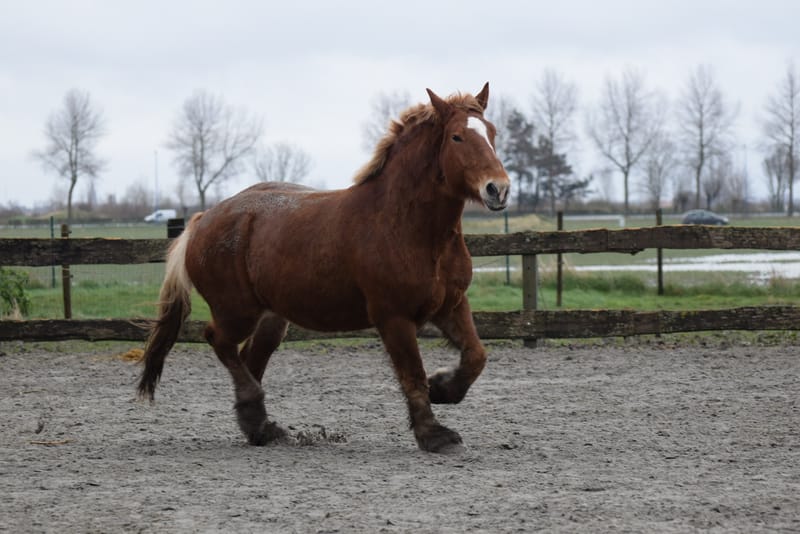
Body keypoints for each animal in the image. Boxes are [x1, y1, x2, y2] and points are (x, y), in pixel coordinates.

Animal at [137, 83, 511, 453]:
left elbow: (476, 356)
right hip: (236, 312)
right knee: (219, 341)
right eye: (457, 137)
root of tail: (202, 219)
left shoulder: (451, 305)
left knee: (249, 358)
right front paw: (433, 433)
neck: (408, 226)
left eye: (492, 132)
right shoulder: (394, 317)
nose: (499, 189)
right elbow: (412, 374)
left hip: (272, 319)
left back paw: (260, 427)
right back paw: (256, 414)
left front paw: (442, 388)